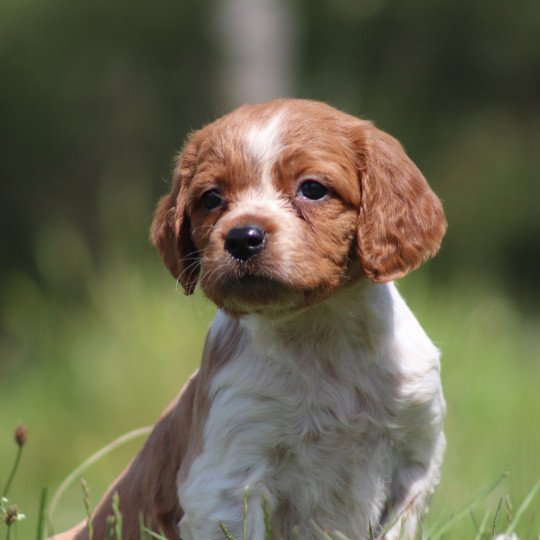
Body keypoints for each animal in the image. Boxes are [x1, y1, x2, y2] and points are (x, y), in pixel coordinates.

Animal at [58, 98, 448, 540]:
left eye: (313, 189)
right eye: (211, 198)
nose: (242, 238)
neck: (319, 332)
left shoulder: (415, 460)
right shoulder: (228, 474)